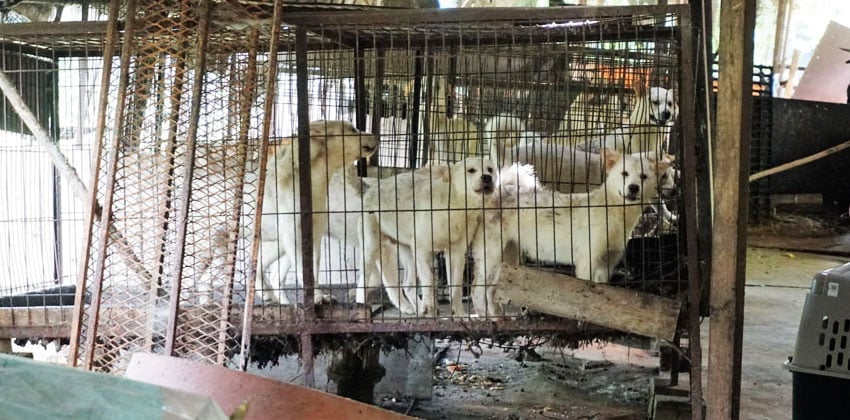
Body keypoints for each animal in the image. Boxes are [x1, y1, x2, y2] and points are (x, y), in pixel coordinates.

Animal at [468, 150, 672, 316]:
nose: (633, 187)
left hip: (507, 258)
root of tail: (495, 193)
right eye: (624, 174)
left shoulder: (607, 263)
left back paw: (500, 317)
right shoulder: (587, 261)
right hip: (490, 255)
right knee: (476, 290)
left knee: (491, 291)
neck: (616, 215)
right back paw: (487, 320)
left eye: (643, 176)